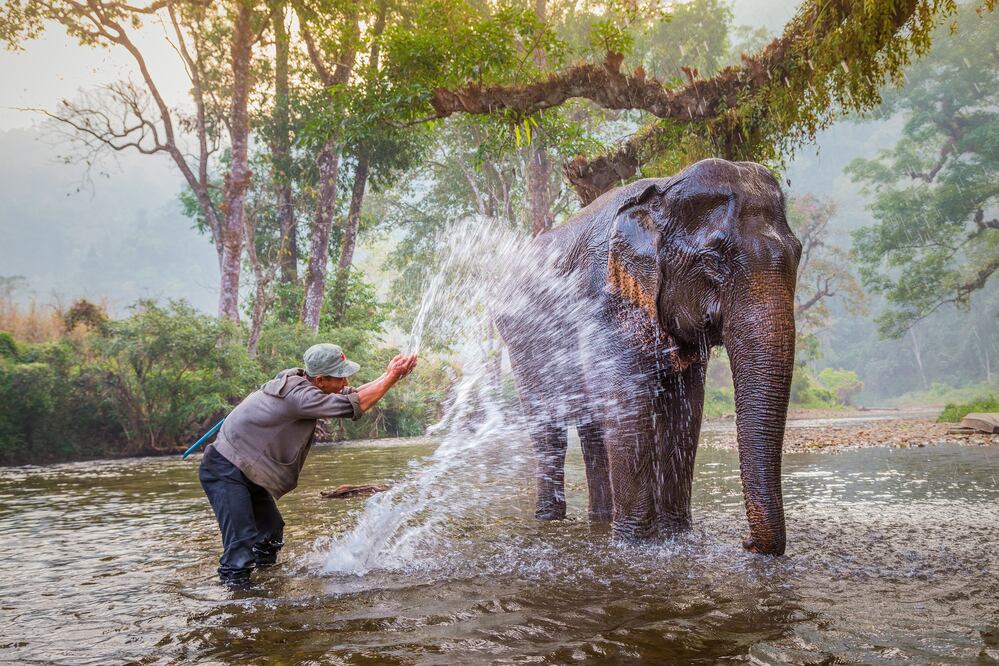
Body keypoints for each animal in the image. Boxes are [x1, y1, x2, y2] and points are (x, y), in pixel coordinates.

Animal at [495, 158, 801, 556]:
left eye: (799, 253)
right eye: (713, 260)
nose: (747, 542)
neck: (663, 189)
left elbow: (686, 408)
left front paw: (676, 537)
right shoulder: (605, 298)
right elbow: (629, 401)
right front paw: (635, 545)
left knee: (594, 428)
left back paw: (599, 520)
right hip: (523, 342)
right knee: (549, 427)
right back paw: (550, 520)